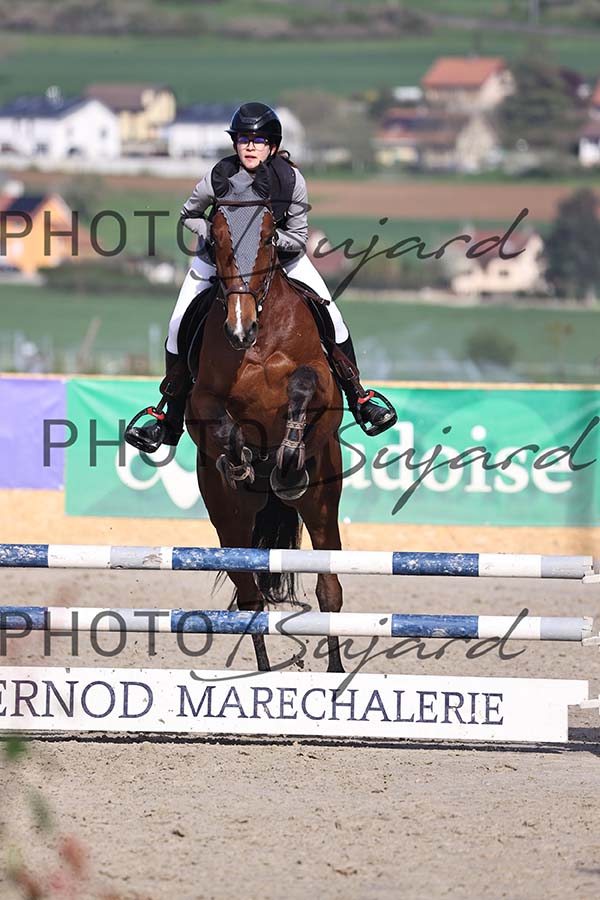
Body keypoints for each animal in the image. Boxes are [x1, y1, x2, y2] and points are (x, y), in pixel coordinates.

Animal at [184, 168, 346, 673]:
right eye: (215, 240)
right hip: (229, 521)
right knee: (251, 599)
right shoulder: (201, 399)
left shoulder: (324, 385)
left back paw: (336, 673)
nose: (240, 330)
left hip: (322, 503)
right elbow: (224, 425)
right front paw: (241, 460)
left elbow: (303, 387)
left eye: (269, 237)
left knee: (329, 590)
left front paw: (287, 458)